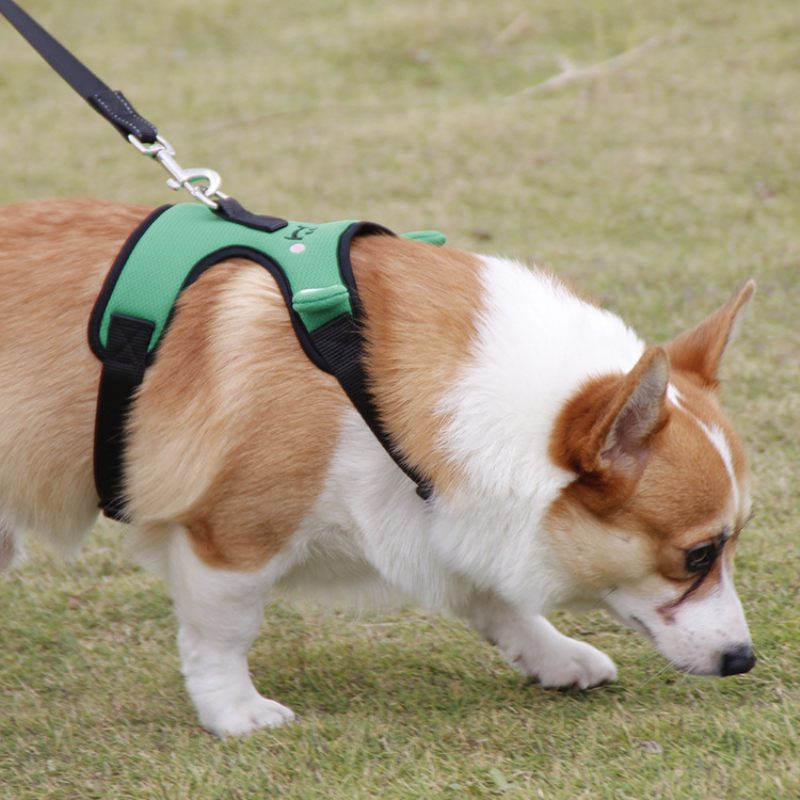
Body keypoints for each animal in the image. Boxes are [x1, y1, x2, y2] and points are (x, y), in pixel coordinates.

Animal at [0, 200, 756, 736]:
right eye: (697, 556)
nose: (745, 661)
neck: (359, 385)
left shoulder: (435, 516)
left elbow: (501, 606)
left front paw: (557, 658)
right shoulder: (232, 541)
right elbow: (221, 634)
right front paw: (234, 713)